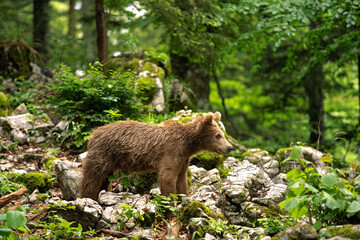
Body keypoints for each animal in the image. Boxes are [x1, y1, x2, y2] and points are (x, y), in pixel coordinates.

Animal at [79, 112, 233, 201]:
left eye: (222, 134)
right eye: (218, 135)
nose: (229, 147)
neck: (188, 145)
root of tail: (92, 134)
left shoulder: (183, 159)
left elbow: (181, 180)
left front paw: (183, 197)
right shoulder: (172, 152)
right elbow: (167, 177)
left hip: (110, 161)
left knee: (103, 179)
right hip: (102, 155)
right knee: (91, 178)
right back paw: (88, 197)